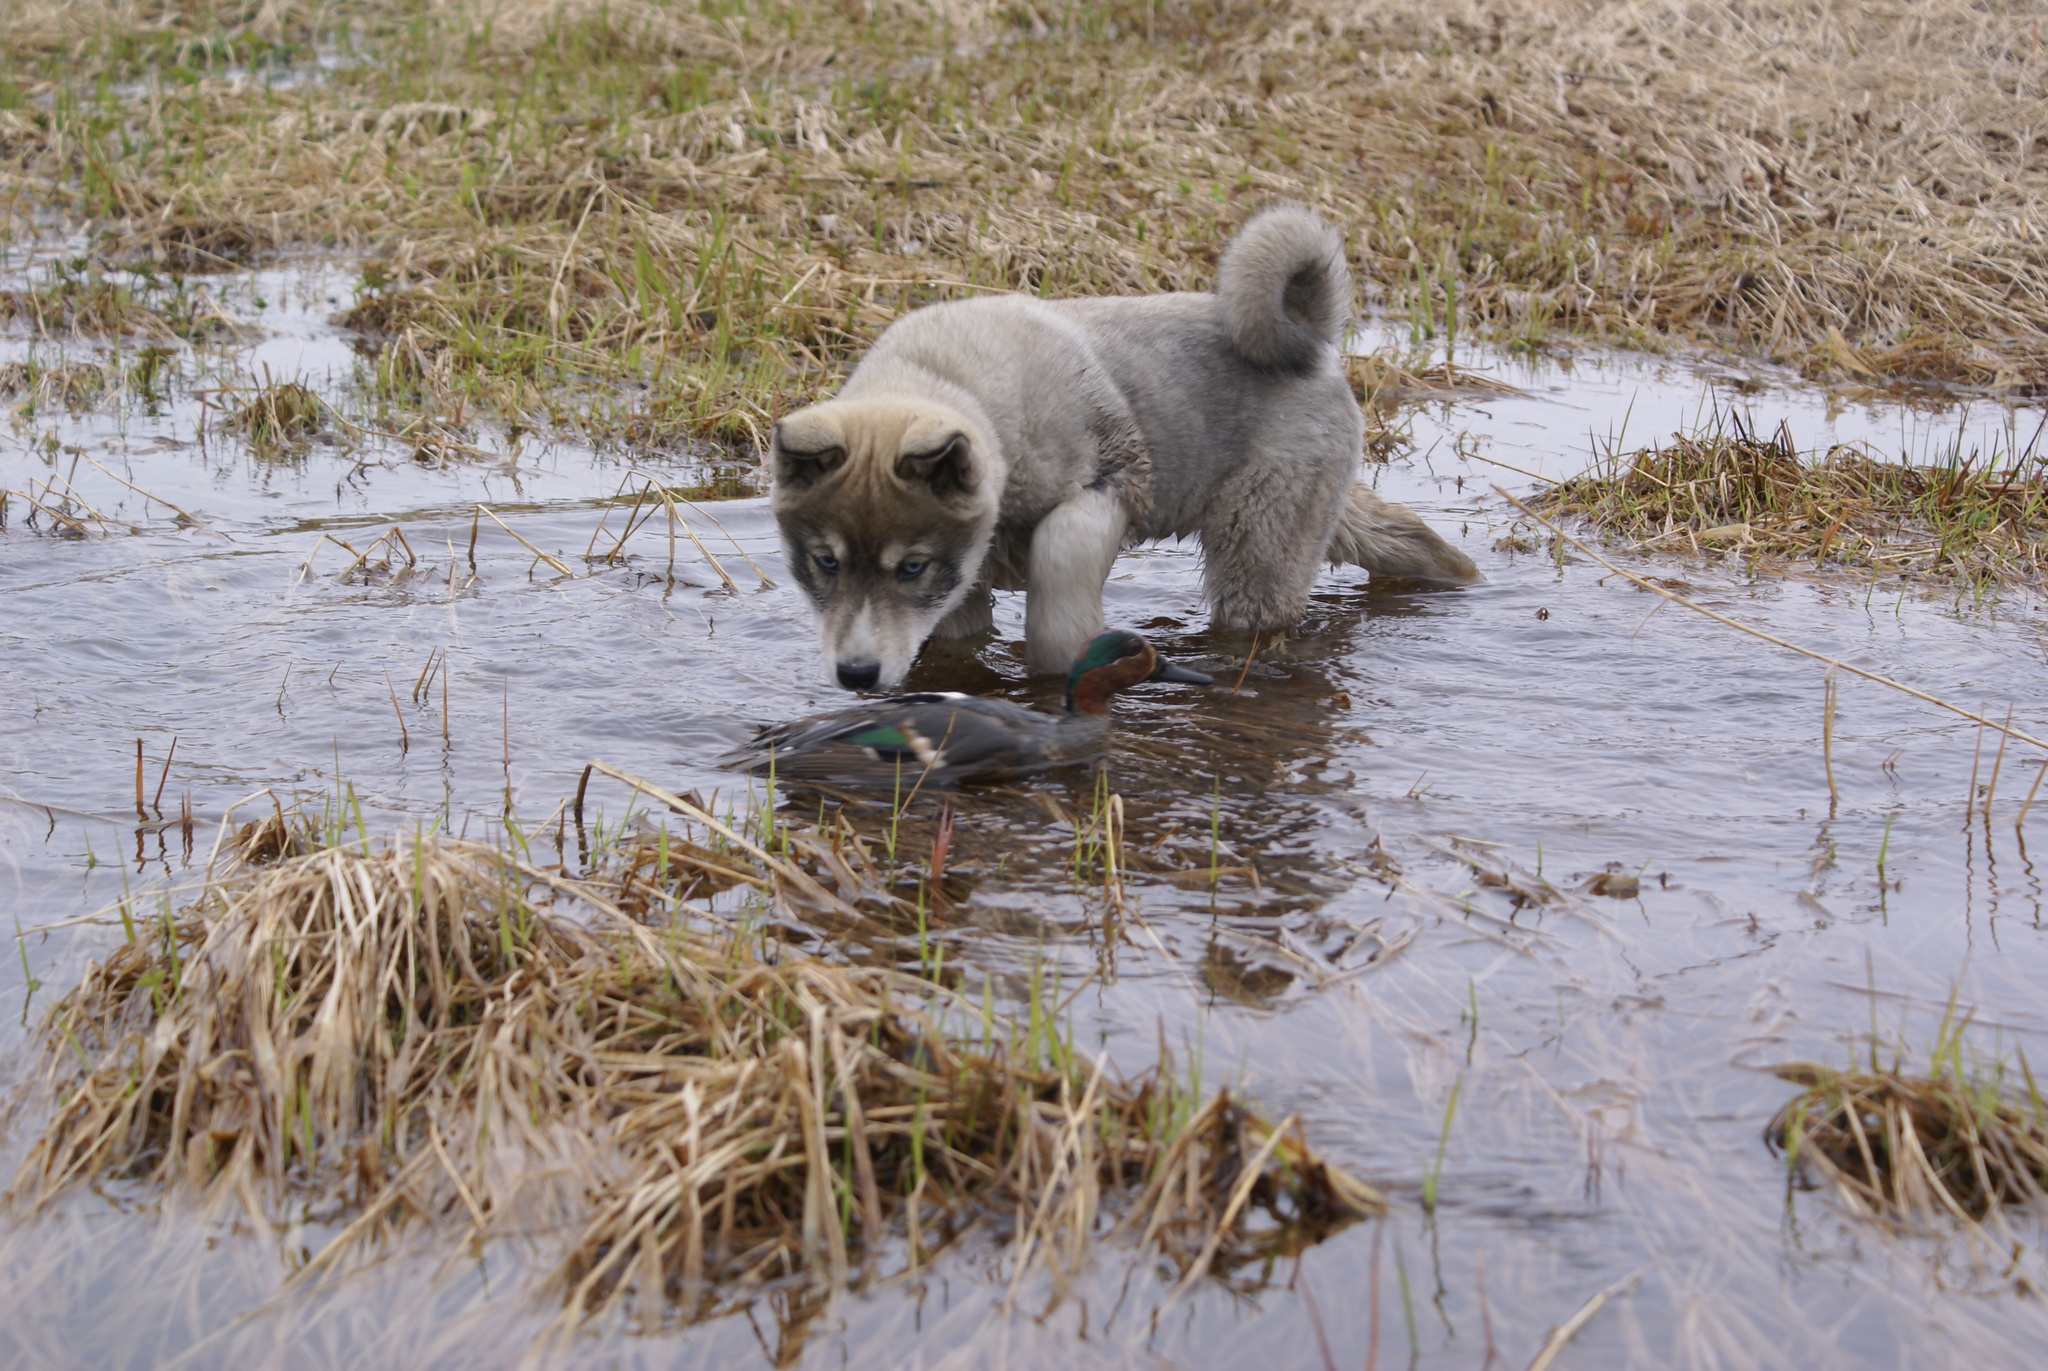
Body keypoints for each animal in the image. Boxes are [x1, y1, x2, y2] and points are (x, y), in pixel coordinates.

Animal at [765, 204, 1474, 688]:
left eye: (909, 566)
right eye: (825, 563)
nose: (856, 676)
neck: (954, 380)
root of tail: (1314, 338)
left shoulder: (1115, 479)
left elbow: (1059, 561)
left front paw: (1069, 655)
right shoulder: (958, 590)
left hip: (1260, 543)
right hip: (1306, 512)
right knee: (1401, 535)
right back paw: (1463, 577)